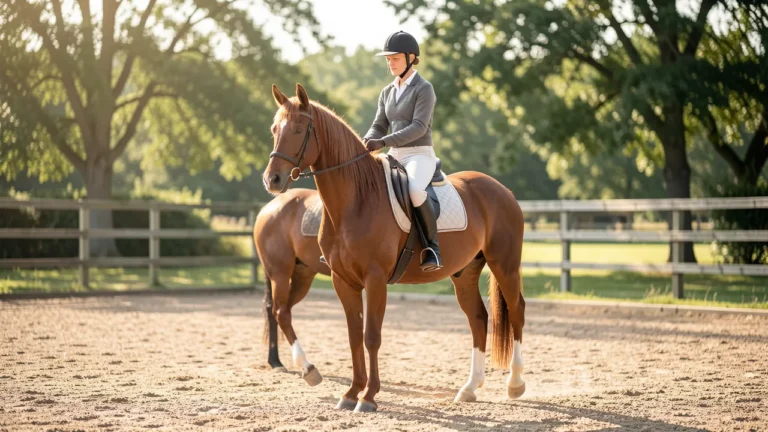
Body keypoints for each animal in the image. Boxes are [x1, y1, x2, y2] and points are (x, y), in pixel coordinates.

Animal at [253, 188, 330, 385]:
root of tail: (268, 208)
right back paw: (306, 366)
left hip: (302, 276)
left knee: (276, 310)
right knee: (281, 312)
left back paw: (275, 361)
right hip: (279, 274)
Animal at [263, 84, 526, 413]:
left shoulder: (375, 279)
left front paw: (368, 396)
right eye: (274, 129)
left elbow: (371, 336)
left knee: (516, 311)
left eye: (299, 129)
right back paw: (469, 388)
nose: (272, 179)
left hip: (505, 264)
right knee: (478, 318)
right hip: (464, 273)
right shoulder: (343, 280)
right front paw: (351, 393)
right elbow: (354, 336)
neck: (356, 201)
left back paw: (515, 384)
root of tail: (501, 189)